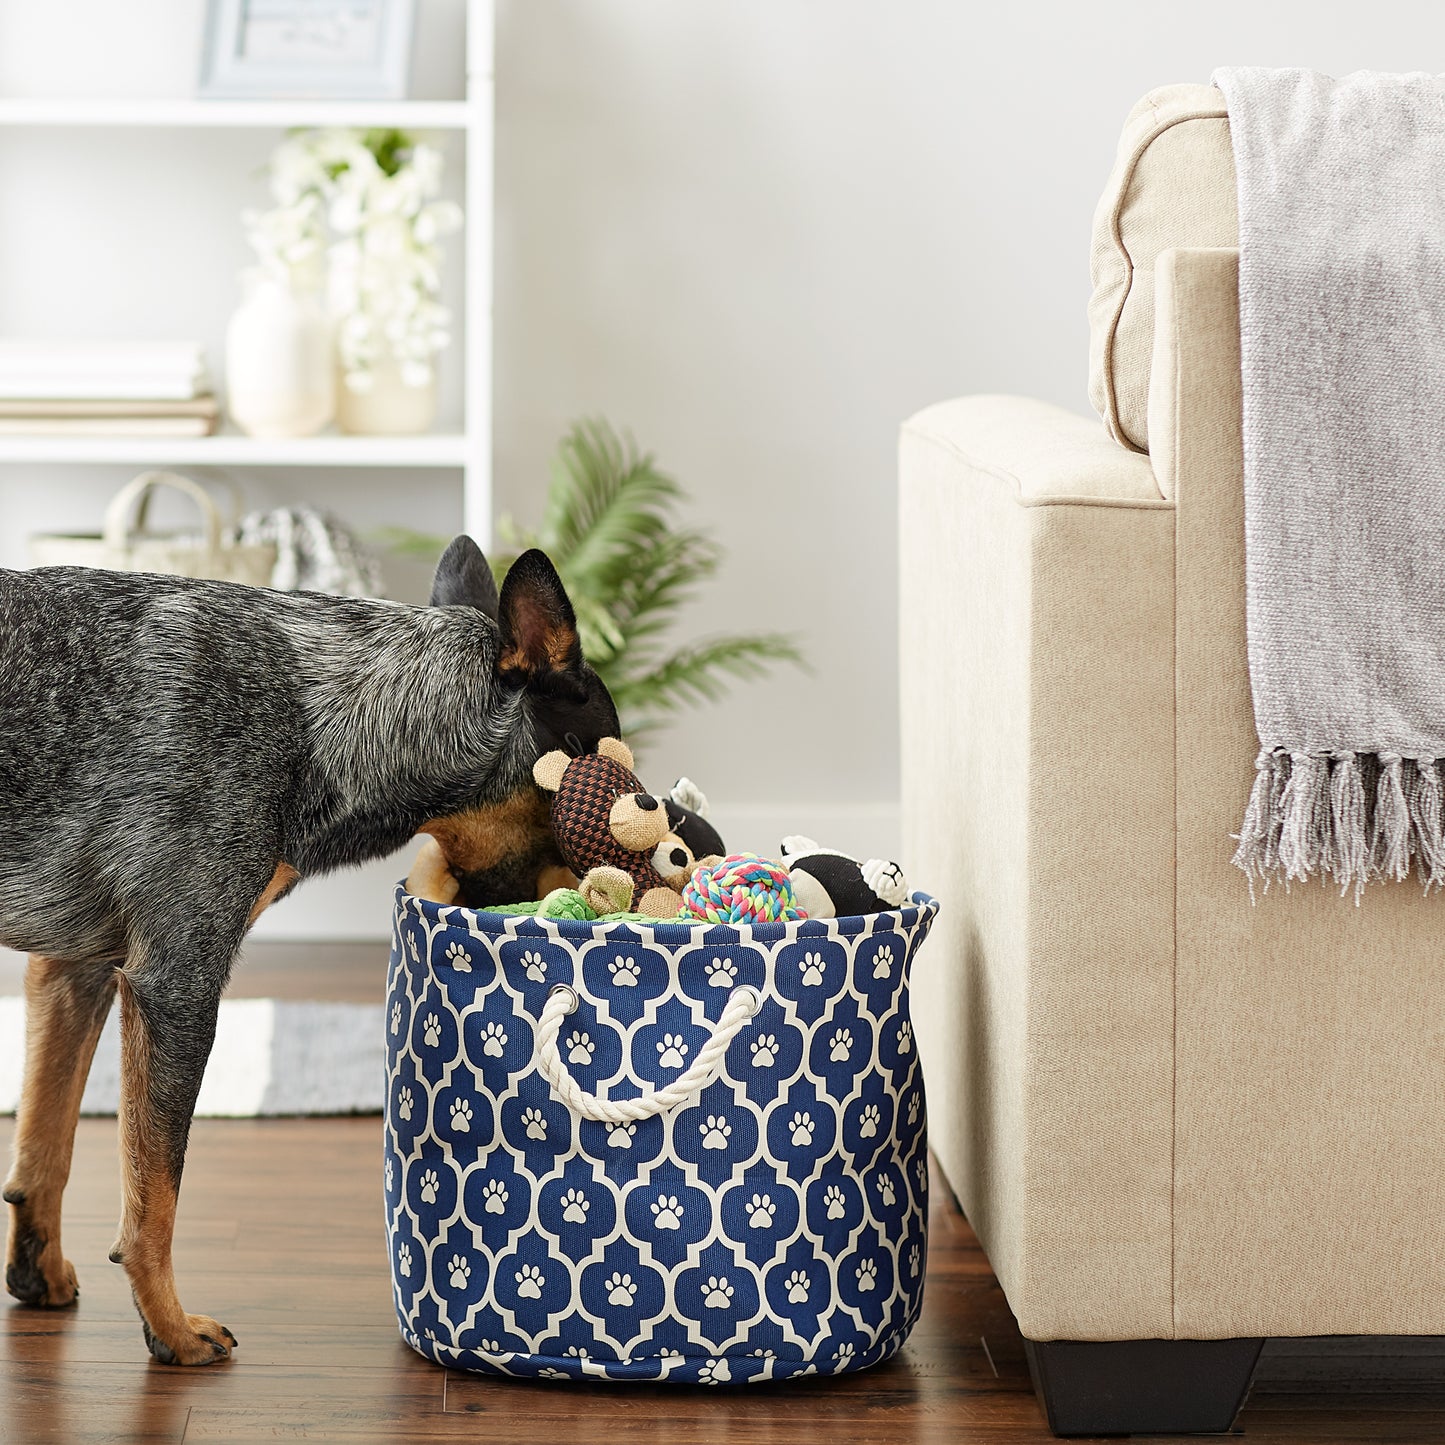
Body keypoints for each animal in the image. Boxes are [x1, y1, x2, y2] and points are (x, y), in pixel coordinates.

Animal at [0, 540, 615, 1364]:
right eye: (610, 771)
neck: (330, 711)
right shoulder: (177, 983)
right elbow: (154, 1197)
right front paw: (171, 1330)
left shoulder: (74, 968)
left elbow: (47, 1147)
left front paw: (37, 1274)